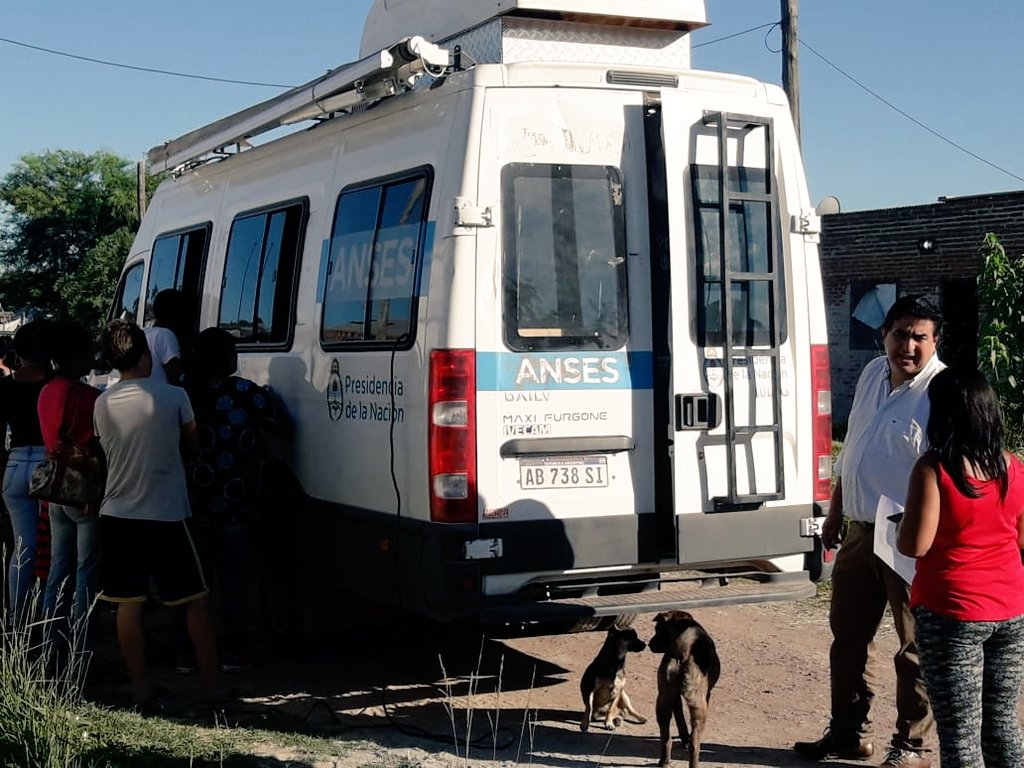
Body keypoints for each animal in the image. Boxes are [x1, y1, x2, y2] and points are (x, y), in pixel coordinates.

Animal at [647, 614, 720, 768]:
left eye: (658, 629)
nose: (649, 644)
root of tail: (683, 653)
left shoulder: (673, 697)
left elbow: (679, 717)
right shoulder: (707, 695)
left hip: (663, 701)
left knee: (665, 736)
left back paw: (664, 761)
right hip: (699, 707)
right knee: (695, 743)